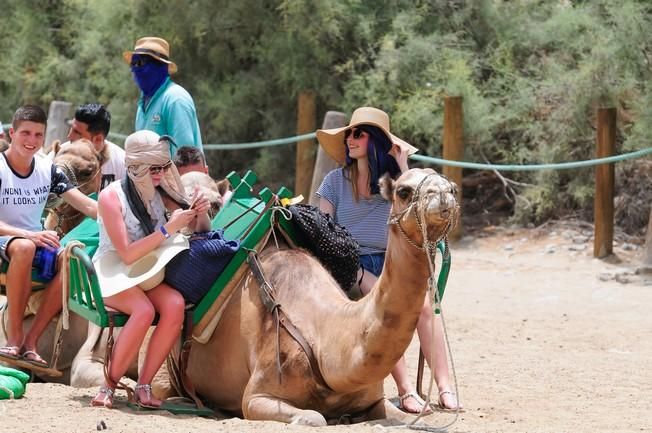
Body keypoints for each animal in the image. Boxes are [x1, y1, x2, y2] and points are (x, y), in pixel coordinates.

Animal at [159, 167, 458, 424]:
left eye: (452, 186)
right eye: (404, 191)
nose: (445, 192)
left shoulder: (374, 399)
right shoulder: (257, 396)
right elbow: (314, 417)